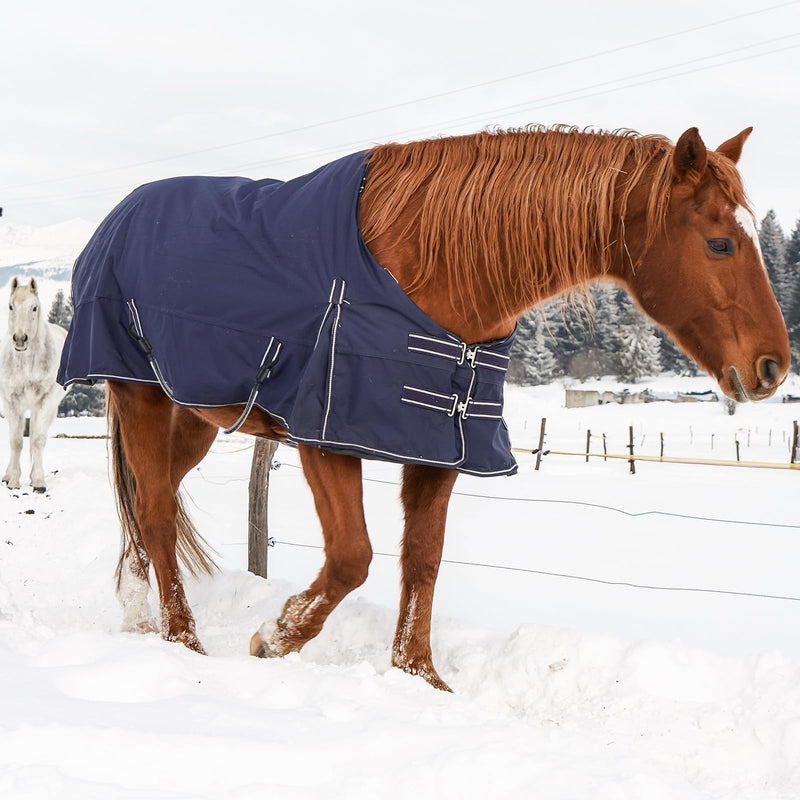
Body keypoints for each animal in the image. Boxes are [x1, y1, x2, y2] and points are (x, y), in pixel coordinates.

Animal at [1, 277, 68, 492]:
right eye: (11, 306)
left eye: (34, 307)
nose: (20, 339)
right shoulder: (11, 403)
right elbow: (15, 441)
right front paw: (13, 481)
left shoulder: (44, 402)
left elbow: (37, 440)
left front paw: (38, 481)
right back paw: (7, 475)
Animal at [59, 125, 790, 691]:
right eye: (720, 243)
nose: (773, 366)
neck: (433, 274)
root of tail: (119, 218)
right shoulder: (329, 437)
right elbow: (352, 557)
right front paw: (275, 636)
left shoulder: (439, 444)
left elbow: (422, 559)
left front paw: (418, 676)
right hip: (139, 394)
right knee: (156, 511)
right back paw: (181, 639)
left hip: (195, 415)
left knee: (150, 502)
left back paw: (138, 610)